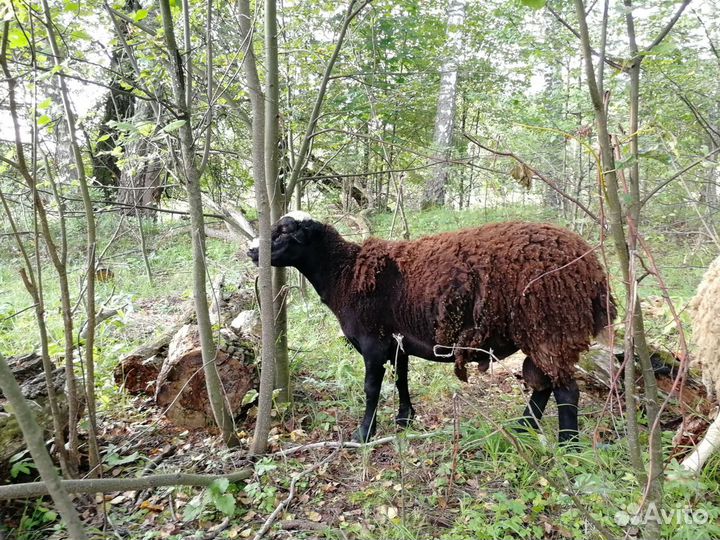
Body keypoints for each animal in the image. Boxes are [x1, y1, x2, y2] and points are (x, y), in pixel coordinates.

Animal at [248, 211, 612, 442]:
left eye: (284, 232)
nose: (250, 251)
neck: (344, 274)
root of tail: (592, 265)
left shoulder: (373, 340)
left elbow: (371, 388)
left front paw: (364, 433)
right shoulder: (397, 341)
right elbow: (402, 379)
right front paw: (405, 419)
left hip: (552, 324)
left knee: (566, 391)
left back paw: (568, 446)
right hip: (541, 331)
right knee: (544, 384)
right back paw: (522, 428)